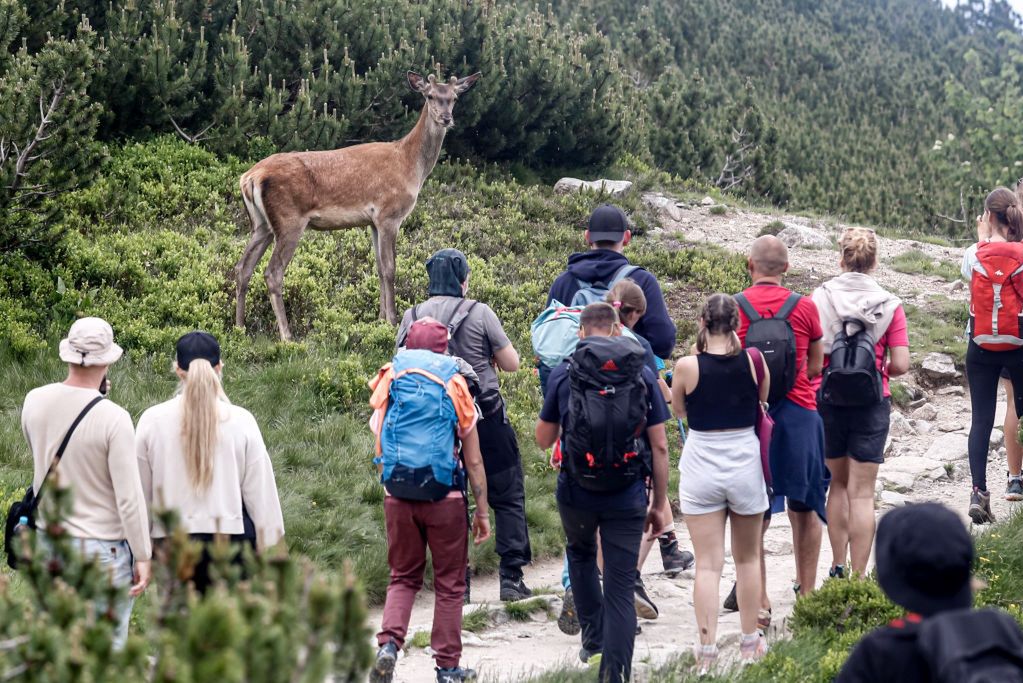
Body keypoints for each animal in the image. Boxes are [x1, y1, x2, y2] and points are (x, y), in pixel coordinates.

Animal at [235, 69, 482, 341]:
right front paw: (392, 321)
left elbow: (378, 267)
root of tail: (249, 177)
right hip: (289, 219)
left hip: (262, 225)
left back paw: (240, 327)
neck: (411, 166)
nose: (446, 118)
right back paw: (287, 336)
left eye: (454, 98)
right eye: (429, 96)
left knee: (242, 267)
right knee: (272, 272)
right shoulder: (389, 214)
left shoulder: (373, 221)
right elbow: (390, 268)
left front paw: (380, 319)